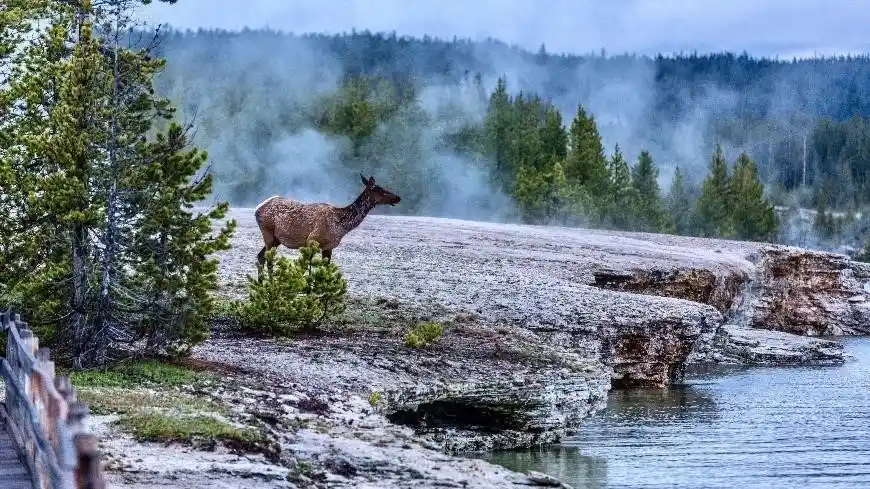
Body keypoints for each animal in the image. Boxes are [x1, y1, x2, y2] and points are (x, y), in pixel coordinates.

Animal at [252, 173, 402, 266]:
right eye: (380, 190)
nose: (398, 197)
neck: (342, 225)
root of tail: (257, 209)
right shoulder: (312, 240)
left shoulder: (329, 247)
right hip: (268, 232)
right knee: (268, 260)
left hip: (276, 239)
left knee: (260, 257)